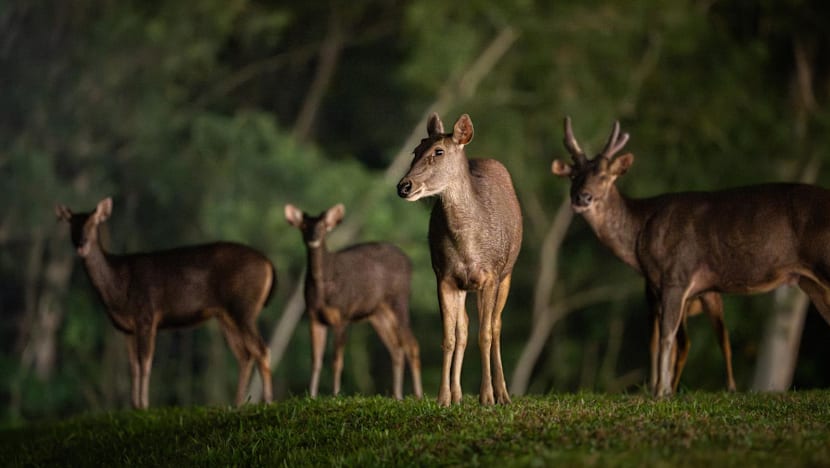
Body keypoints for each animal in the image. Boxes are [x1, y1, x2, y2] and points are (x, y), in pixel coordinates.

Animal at [56, 197, 274, 409]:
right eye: (71, 223)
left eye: (93, 223)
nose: (81, 243)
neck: (117, 290)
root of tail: (268, 265)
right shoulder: (127, 329)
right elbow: (133, 366)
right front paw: (133, 406)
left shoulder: (146, 316)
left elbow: (145, 362)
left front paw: (144, 405)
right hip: (226, 316)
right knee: (245, 355)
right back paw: (238, 403)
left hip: (244, 307)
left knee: (262, 349)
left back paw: (268, 401)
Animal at [284, 203, 423, 400]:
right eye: (304, 226)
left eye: (323, 226)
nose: (313, 238)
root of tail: (410, 264)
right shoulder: (314, 317)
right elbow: (316, 359)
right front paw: (311, 395)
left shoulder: (342, 314)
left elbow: (337, 360)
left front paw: (335, 394)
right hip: (378, 314)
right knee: (396, 348)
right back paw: (397, 395)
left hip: (399, 300)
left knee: (412, 344)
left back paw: (417, 395)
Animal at [397, 113, 523, 406]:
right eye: (415, 150)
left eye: (438, 151)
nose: (404, 186)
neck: (468, 246)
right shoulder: (443, 276)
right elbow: (450, 337)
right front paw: (443, 398)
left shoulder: (491, 275)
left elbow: (485, 334)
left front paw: (487, 396)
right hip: (465, 285)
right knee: (463, 327)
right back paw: (457, 394)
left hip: (507, 273)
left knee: (496, 326)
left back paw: (503, 394)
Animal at [550, 116, 830, 397]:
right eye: (573, 175)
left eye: (605, 175)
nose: (582, 197)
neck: (640, 234)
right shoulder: (659, 286)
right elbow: (664, 338)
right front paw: (662, 390)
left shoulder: (677, 274)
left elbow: (667, 336)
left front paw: (661, 392)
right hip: (811, 282)